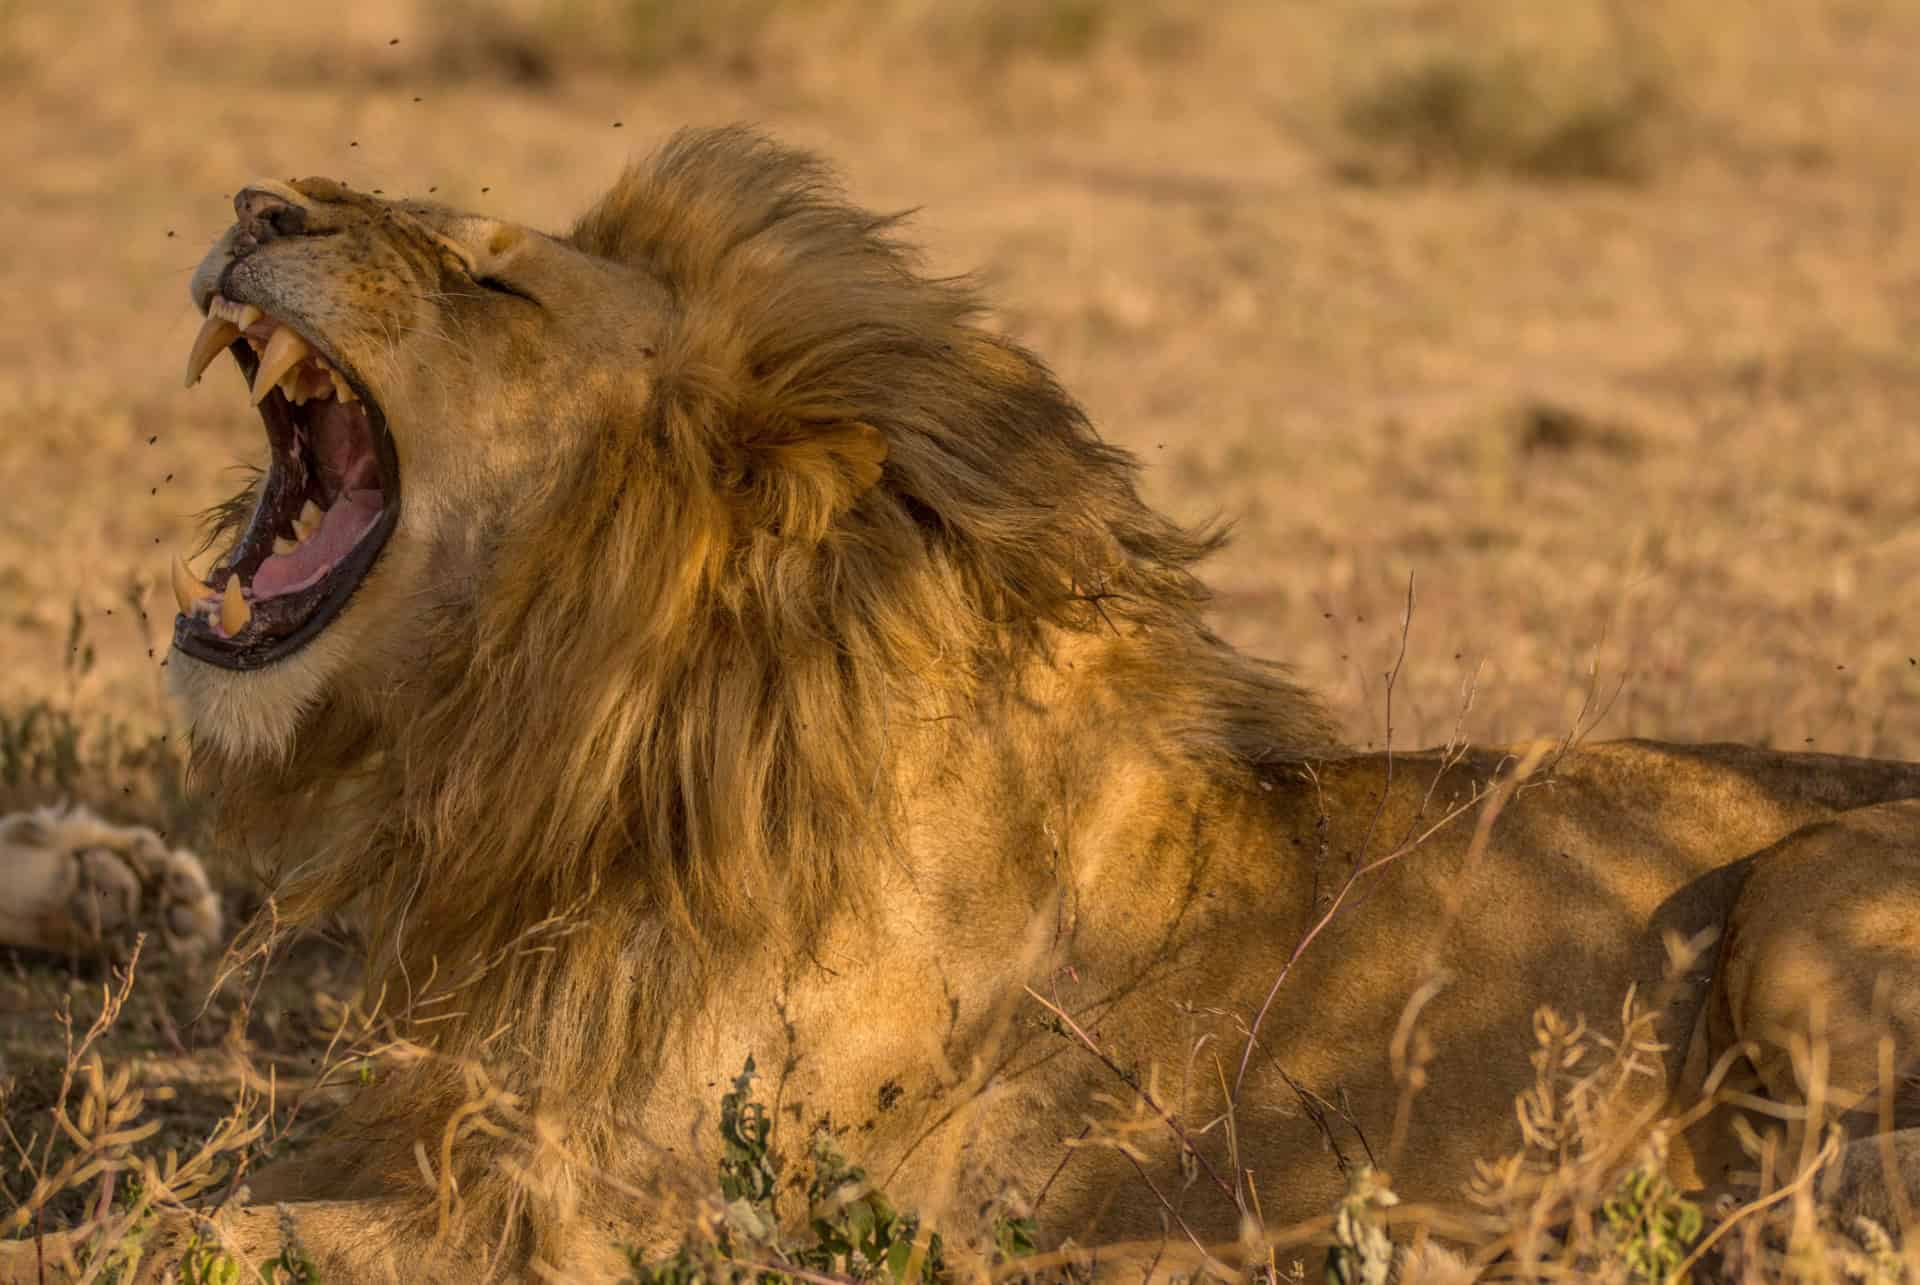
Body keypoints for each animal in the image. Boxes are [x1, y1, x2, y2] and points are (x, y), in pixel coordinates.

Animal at [11, 126, 1920, 1280]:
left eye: (492, 279)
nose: (256, 210)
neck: (585, 739)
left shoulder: (624, 1209)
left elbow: (200, 1233)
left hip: (1801, 906)